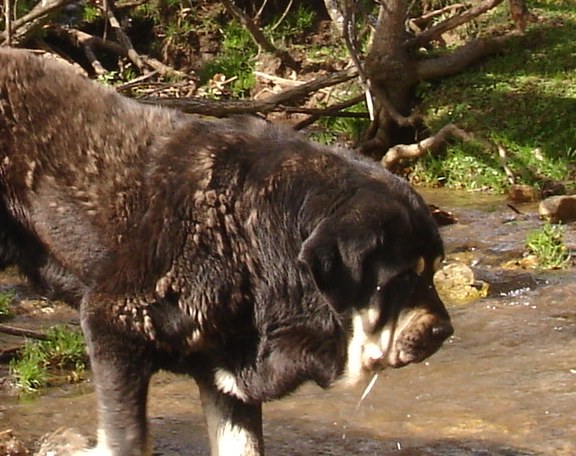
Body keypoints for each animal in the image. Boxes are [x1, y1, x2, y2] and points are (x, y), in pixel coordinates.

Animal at [0, 48, 452, 454]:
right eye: (404, 277)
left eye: (433, 271)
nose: (443, 331)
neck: (252, 242)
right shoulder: (112, 324)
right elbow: (126, 439)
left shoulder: (229, 373)